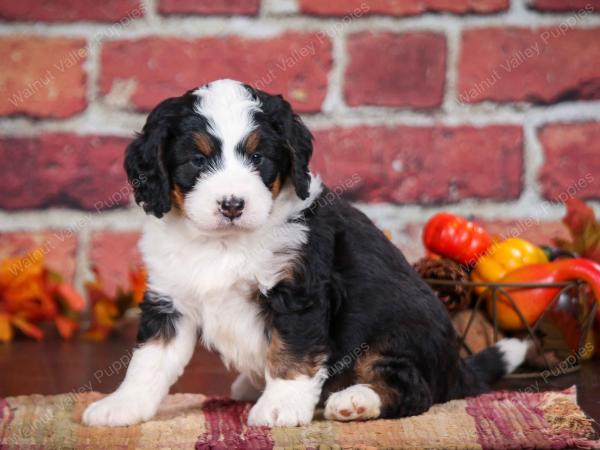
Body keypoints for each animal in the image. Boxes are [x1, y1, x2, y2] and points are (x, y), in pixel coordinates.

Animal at [82, 79, 528, 428]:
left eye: (258, 157)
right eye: (197, 159)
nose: (232, 205)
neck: (223, 242)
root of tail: (456, 368)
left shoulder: (298, 291)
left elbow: (292, 353)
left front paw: (280, 407)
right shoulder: (170, 299)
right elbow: (148, 361)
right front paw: (122, 406)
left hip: (396, 332)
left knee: (413, 388)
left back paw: (354, 400)